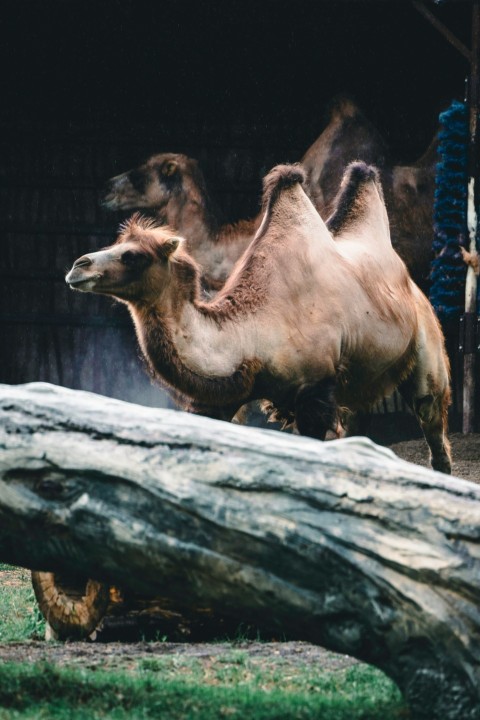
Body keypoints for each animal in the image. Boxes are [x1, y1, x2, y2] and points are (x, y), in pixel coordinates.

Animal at [68, 161, 451, 473]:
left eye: (133, 256)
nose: (77, 266)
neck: (253, 332)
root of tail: (413, 287)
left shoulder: (315, 390)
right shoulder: (225, 392)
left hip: (426, 346)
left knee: (430, 414)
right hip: (360, 373)